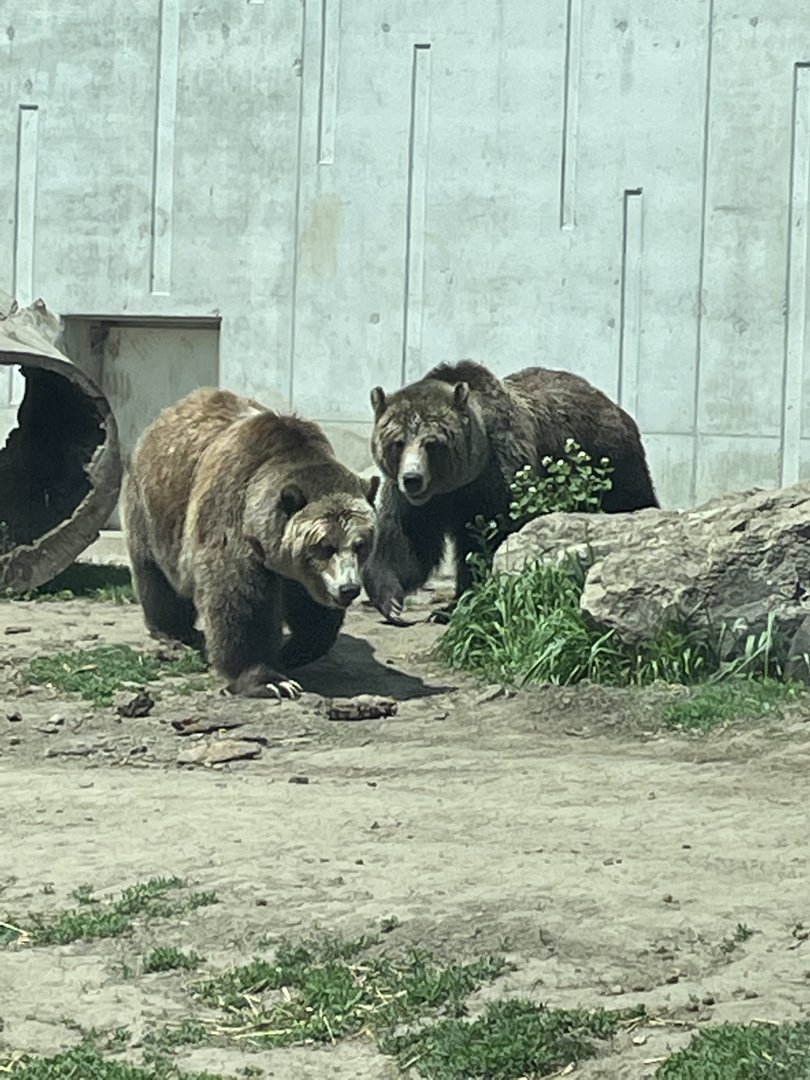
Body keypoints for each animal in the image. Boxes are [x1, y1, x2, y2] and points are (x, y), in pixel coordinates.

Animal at [123, 387, 379, 698]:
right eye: (324, 546)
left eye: (361, 544)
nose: (349, 589)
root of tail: (169, 412)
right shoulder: (232, 520)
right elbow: (241, 601)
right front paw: (270, 679)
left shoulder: (303, 571)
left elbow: (311, 611)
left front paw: (290, 652)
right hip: (153, 511)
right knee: (156, 577)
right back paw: (173, 632)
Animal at [362, 360, 658, 624]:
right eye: (398, 442)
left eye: (432, 443)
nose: (412, 479)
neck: (461, 481)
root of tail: (611, 404)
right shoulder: (421, 501)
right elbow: (408, 540)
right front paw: (391, 601)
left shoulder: (497, 481)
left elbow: (489, 542)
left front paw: (455, 606)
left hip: (610, 462)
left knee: (632, 499)